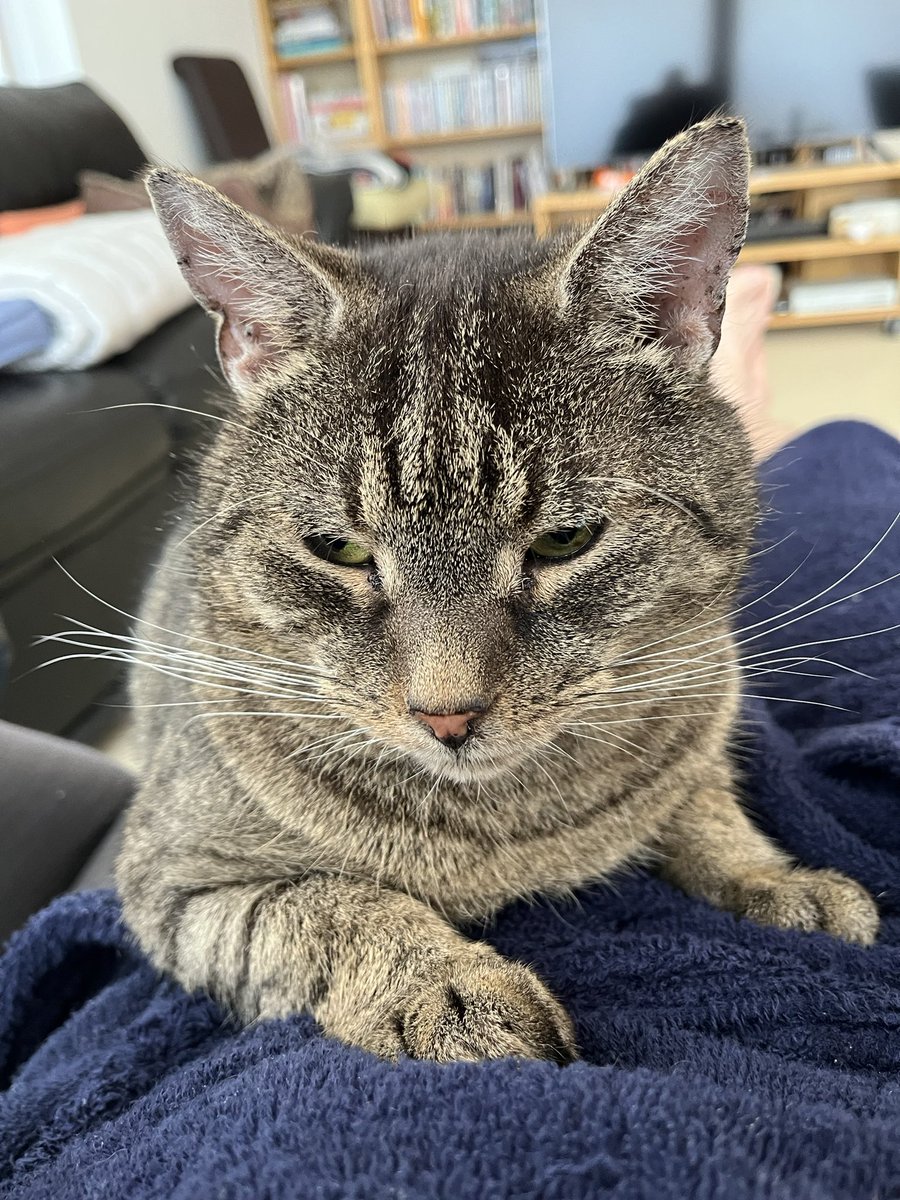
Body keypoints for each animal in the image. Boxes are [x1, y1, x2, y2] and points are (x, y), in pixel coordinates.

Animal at [114, 117, 883, 1065]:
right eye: (337, 548)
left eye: (565, 539)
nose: (447, 717)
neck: (510, 824)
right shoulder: (173, 881)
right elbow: (328, 907)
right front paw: (443, 988)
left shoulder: (700, 724)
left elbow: (707, 808)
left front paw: (774, 878)